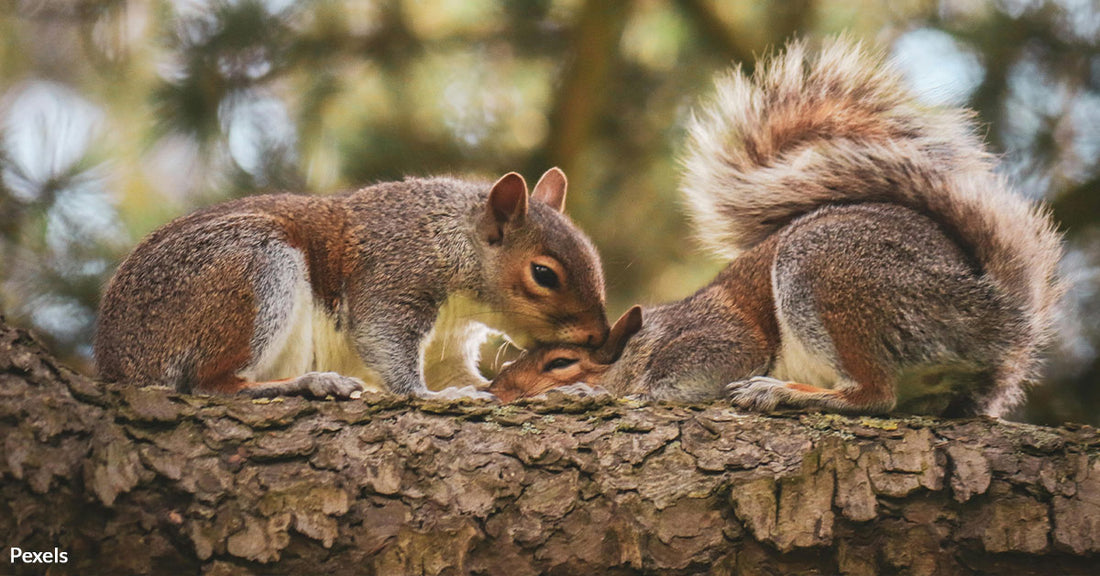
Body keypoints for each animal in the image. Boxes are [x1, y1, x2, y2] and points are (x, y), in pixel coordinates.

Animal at [94, 168, 610, 399]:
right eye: (543, 274)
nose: (600, 338)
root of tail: (117, 362)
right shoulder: (393, 276)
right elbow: (383, 340)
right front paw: (432, 396)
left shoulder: (447, 343)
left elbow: (473, 378)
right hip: (253, 267)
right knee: (211, 384)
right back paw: (309, 381)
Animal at [488, 38, 1065, 417]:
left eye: (561, 362)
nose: (497, 391)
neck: (644, 341)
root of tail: (994, 316)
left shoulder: (718, 342)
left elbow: (668, 385)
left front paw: (588, 393)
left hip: (829, 276)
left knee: (874, 395)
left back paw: (780, 391)